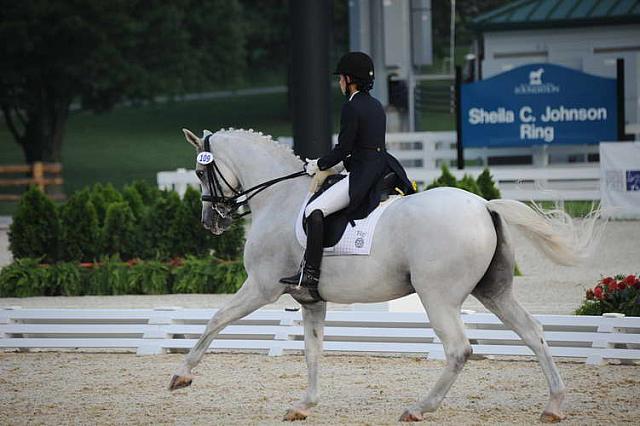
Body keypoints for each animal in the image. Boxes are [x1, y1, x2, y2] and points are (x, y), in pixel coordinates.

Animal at [169, 129, 600, 422]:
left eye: (200, 173)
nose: (211, 222)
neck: (279, 199)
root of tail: (483, 205)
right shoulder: (311, 299)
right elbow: (312, 351)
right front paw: (304, 405)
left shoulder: (261, 287)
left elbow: (216, 319)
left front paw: (181, 376)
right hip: (493, 291)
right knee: (533, 332)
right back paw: (554, 406)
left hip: (437, 296)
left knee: (459, 349)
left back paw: (419, 408)